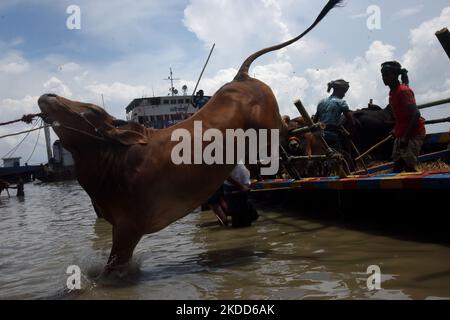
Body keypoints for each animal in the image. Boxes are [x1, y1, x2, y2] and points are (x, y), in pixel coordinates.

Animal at [37, 0, 342, 276]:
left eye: (90, 111)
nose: (46, 96)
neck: (112, 161)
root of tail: (240, 78)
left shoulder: (128, 228)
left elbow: (110, 272)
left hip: (269, 128)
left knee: (291, 132)